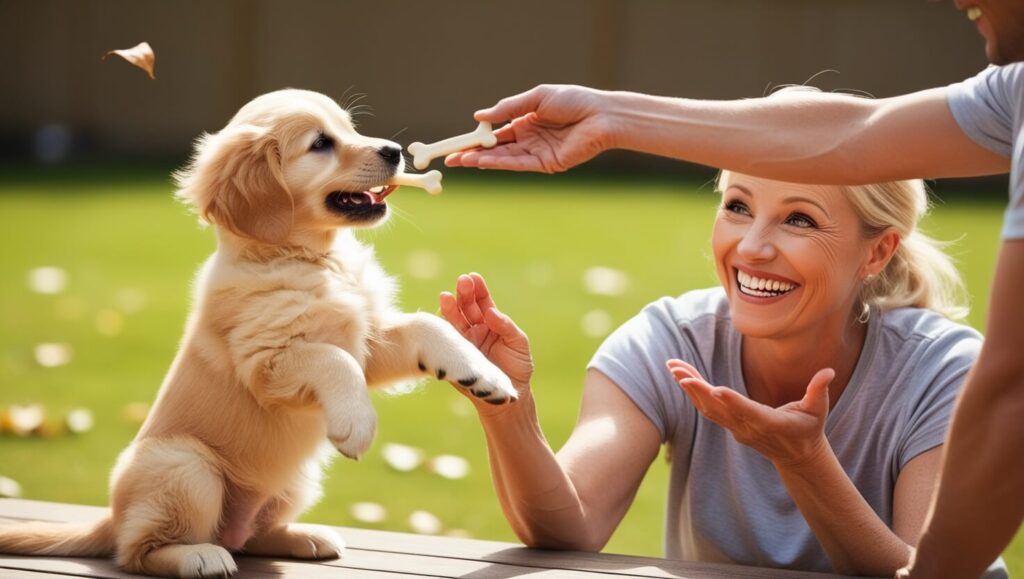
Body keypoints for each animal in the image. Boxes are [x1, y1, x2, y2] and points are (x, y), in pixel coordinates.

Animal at [0, 88, 512, 573]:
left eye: (350, 128)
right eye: (320, 144)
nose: (395, 150)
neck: (312, 257)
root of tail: (112, 517)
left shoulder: (371, 343)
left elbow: (427, 325)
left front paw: (485, 374)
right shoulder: (267, 363)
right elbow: (331, 358)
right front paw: (356, 423)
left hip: (295, 482)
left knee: (250, 536)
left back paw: (306, 537)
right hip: (186, 466)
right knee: (139, 550)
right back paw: (197, 556)